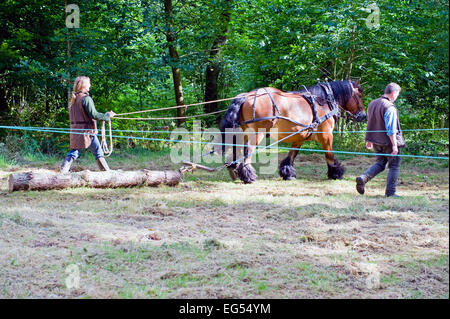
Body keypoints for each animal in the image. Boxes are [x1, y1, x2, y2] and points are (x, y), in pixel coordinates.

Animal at [221, 80, 366, 184]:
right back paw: (248, 176)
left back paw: (234, 169)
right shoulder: (326, 136)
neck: (323, 102)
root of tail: (246, 95)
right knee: (247, 151)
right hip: (257, 133)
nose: (363, 116)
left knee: (237, 149)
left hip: (244, 132)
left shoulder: (299, 137)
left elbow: (292, 155)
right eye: (359, 95)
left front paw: (288, 173)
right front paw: (335, 173)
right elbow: (329, 155)